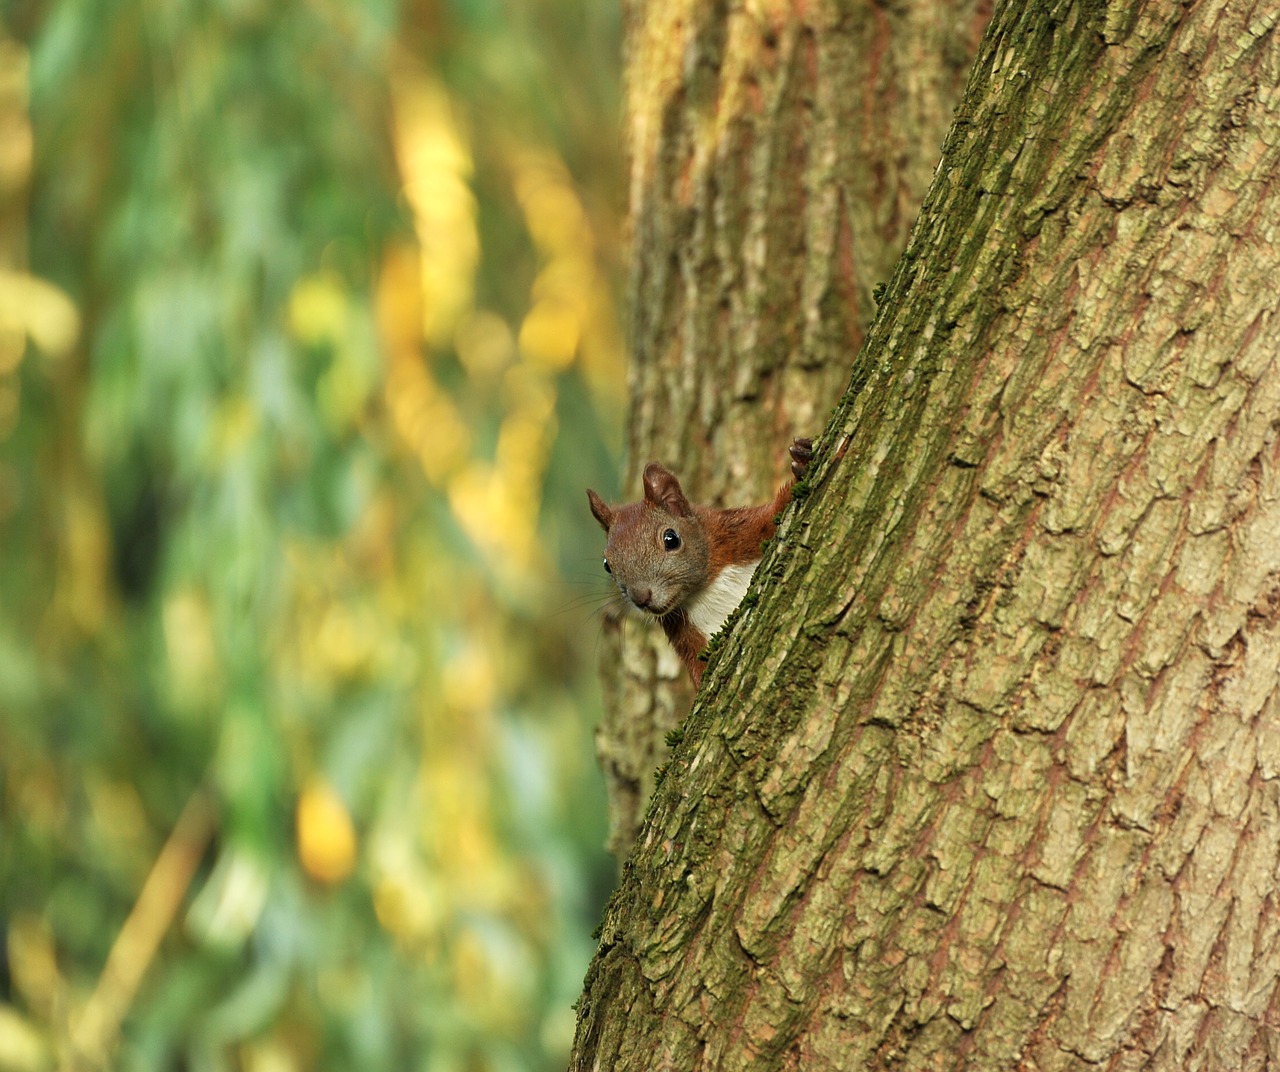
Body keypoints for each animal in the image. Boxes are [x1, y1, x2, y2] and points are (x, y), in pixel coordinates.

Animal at [586, 437, 814, 690]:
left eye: (671, 539)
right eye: (607, 564)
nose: (640, 598)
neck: (705, 587)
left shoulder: (743, 531)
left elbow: (774, 511)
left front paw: (802, 459)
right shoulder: (685, 635)